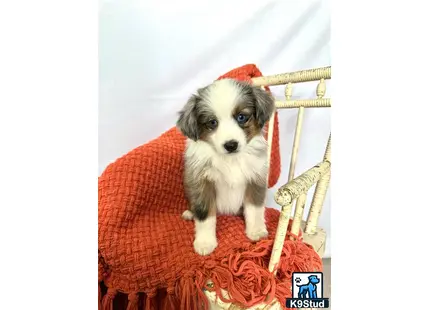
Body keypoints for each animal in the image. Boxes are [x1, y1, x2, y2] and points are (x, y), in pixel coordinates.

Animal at [177, 78, 276, 256]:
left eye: (242, 117)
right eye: (212, 122)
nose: (231, 145)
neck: (231, 160)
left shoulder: (255, 178)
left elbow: (255, 208)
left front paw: (256, 231)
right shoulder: (202, 183)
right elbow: (205, 215)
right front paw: (205, 242)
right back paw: (190, 213)